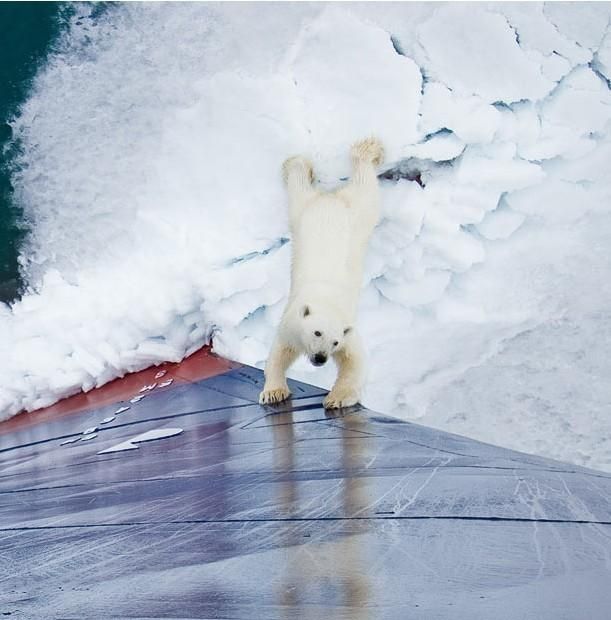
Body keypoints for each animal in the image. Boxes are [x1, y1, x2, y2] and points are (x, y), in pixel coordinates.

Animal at [260, 138, 384, 410]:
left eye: (335, 341)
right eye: (317, 332)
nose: (320, 358)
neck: (325, 300)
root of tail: (330, 200)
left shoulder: (348, 333)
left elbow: (354, 362)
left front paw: (336, 399)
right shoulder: (291, 322)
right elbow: (279, 353)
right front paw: (273, 392)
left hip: (354, 213)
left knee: (365, 185)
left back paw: (364, 151)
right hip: (305, 212)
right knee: (301, 189)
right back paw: (297, 164)